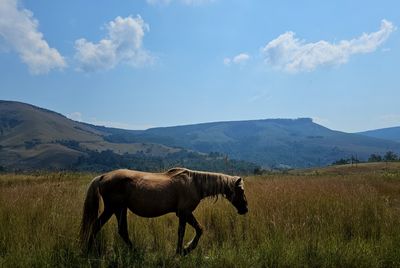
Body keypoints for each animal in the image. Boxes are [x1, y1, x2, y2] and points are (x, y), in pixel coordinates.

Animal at [79, 168, 247, 255]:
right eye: (241, 190)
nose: (245, 209)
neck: (194, 184)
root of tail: (103, 177)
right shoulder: (185, 213)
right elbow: (194, 230)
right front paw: (184, 249)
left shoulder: (183, 214)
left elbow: (186, 231)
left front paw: (181, 250)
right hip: (113, 208)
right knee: (97, 226)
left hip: (120, 209)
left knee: (121, 231)